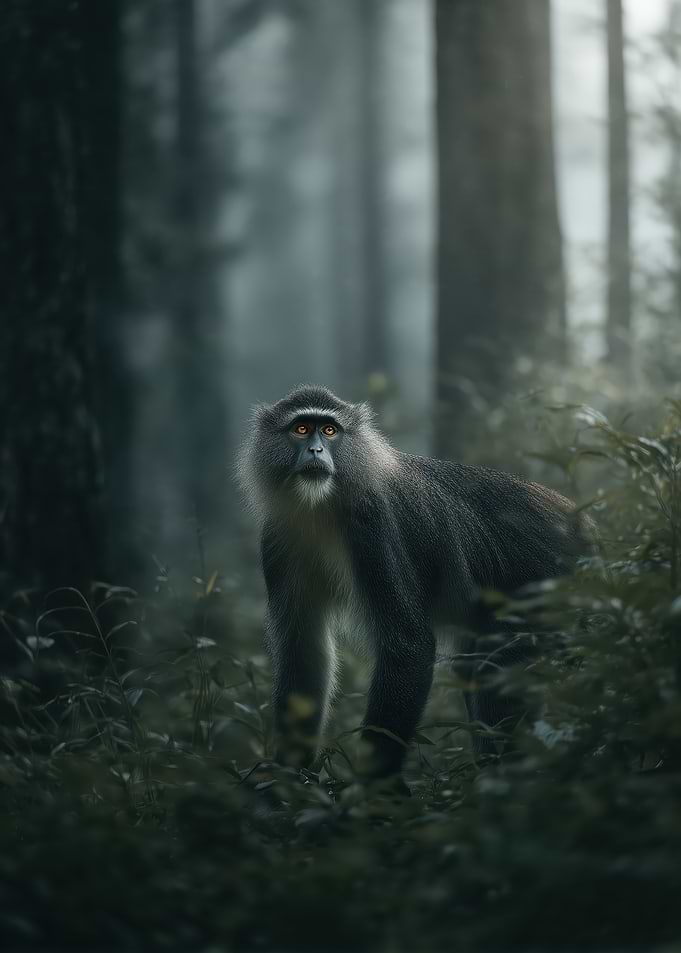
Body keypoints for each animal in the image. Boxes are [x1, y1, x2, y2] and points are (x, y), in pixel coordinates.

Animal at [238, 384, 593, 780]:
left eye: (329, 431)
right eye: (301, 429)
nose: (315, 450)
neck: (322, 507)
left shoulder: (373, 526)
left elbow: (408, 645)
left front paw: (369, 789)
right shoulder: (278, 535)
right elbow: (303, 651)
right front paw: (287, 778)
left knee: (498, 665)